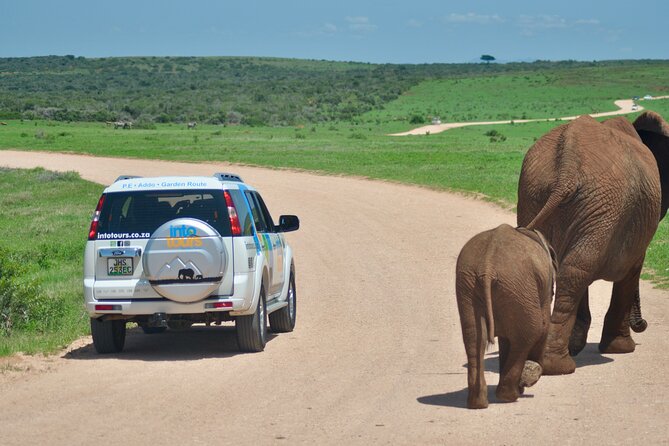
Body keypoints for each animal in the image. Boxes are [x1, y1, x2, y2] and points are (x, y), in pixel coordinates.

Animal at [456, 224, 556, 409]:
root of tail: (487, 266)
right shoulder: (543, 288)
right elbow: (544, 326)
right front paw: (529, 378)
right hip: (518, 287)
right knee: (529, 334)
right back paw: (509, 396)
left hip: (470, 286)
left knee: (474, 338)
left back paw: (478, 403)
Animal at [517, 113, 662, 375]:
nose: (643, 324)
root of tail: (567, 168)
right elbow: (631, 270)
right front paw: (621, 349)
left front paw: (577, 344)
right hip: (602, 205)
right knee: (577, 271)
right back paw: (558, 365)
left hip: (537, 193)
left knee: (569, 268)